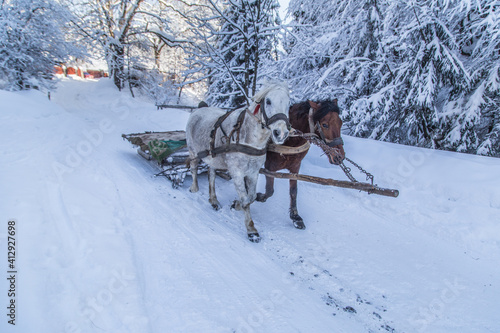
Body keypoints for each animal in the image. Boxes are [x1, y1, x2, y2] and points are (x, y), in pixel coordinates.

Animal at [258, 98, 344, 228]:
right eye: (324, 124)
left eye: (341, 123)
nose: (339, 156)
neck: (289, 139)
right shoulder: (270, 167)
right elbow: (269, 191)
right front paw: (257, 197)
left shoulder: (295, 167)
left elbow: (294, 192)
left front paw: (295, 216)